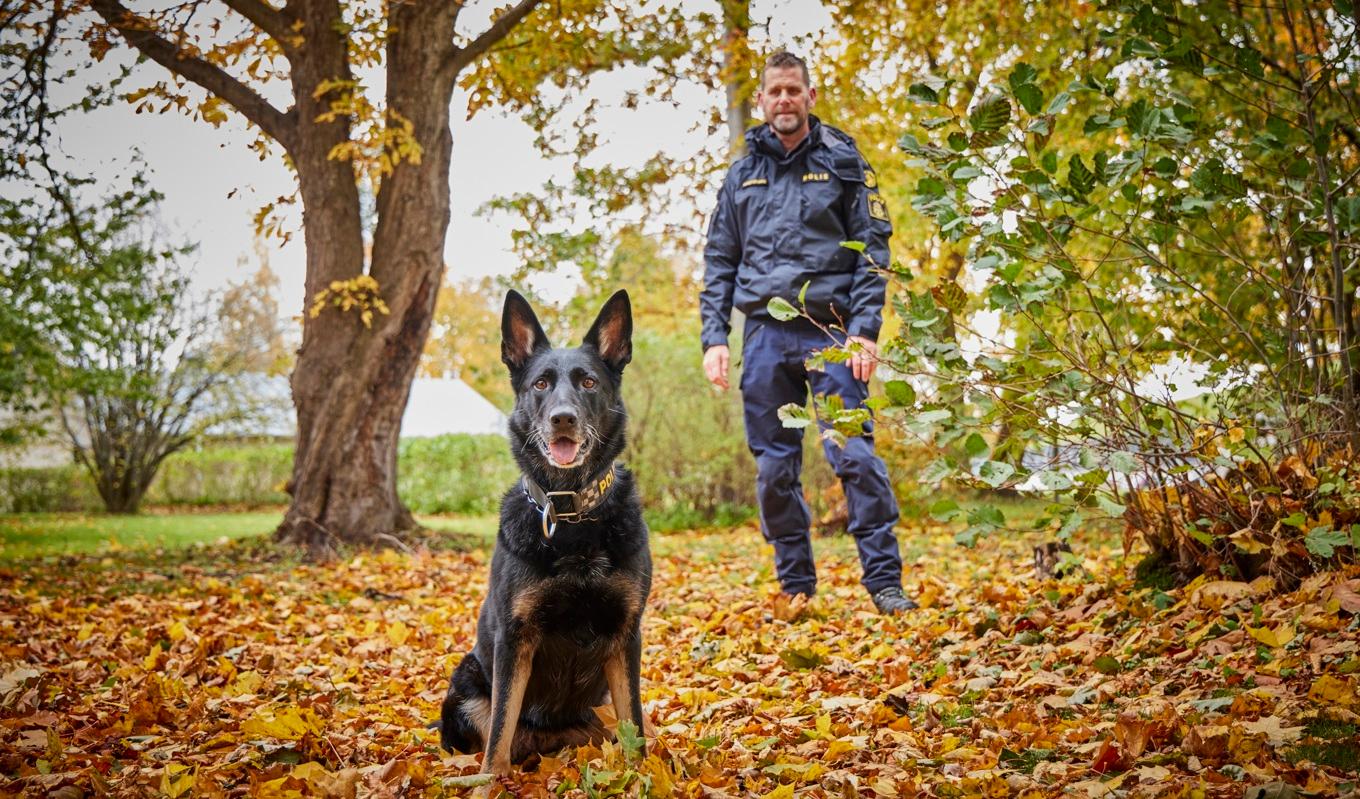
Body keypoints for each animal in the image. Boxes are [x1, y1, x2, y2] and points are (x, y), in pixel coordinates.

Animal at [435, 290, 647, 777]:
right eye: (540, 385)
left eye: (588, 382)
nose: (562, 419)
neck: (569, 516)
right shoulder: (514, 641)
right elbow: (498, 734)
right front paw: (488, 783)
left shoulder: (626, 636)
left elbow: (637, 728)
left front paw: (647, 777)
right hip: (466, 682)